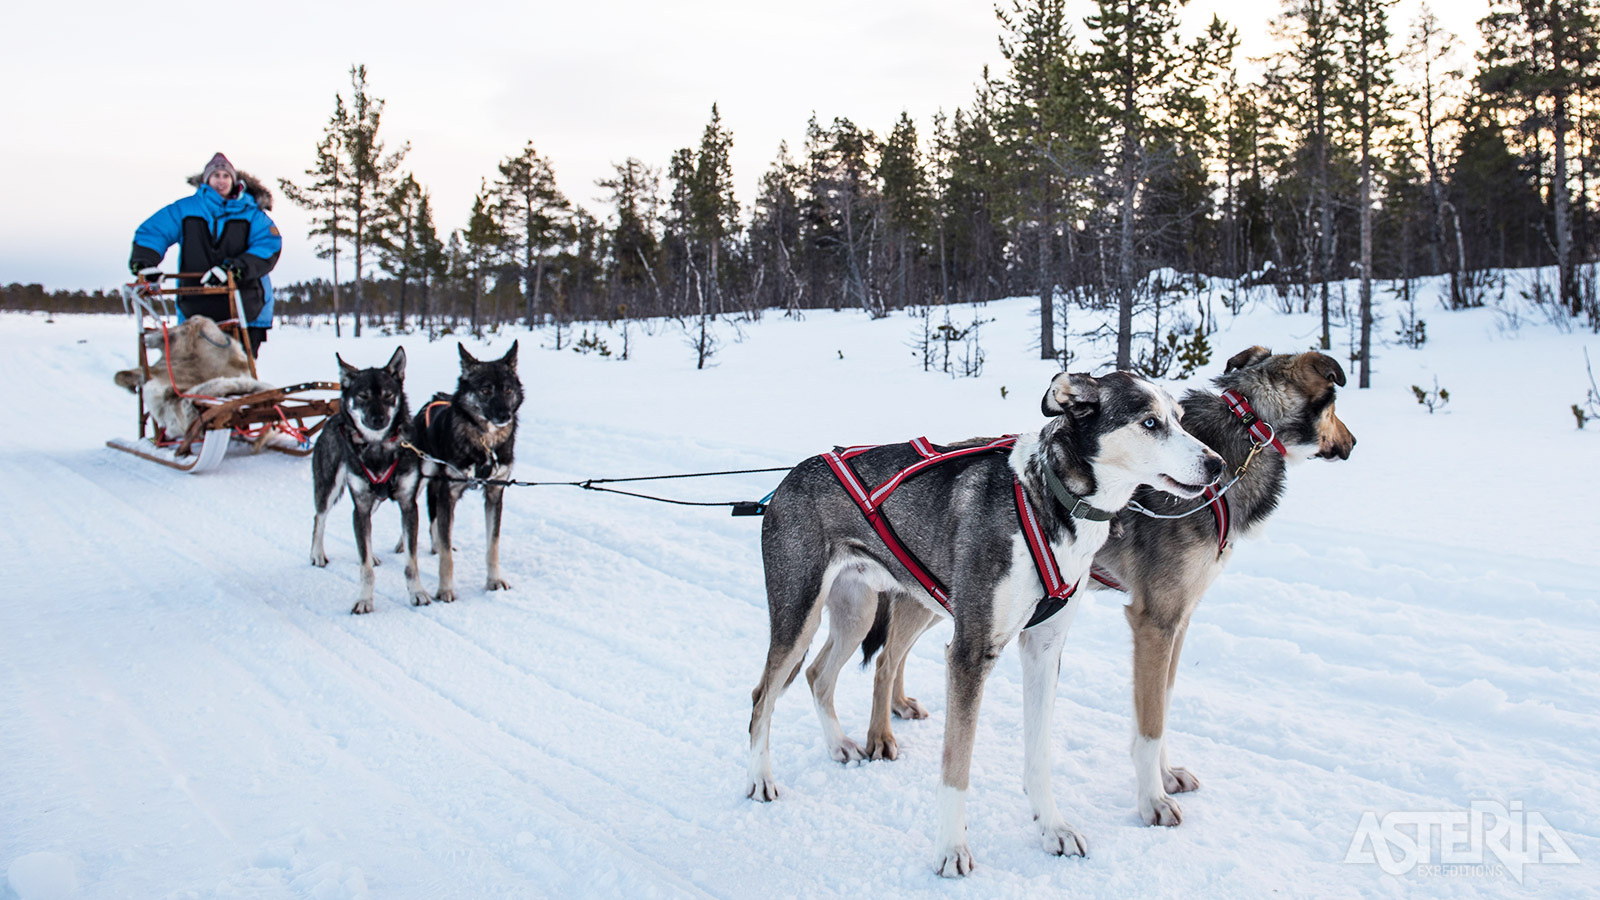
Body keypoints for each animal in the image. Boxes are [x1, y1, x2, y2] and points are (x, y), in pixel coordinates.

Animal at [307, 342, 428, 608]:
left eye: (388, 395)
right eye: (362, 396)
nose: (378, 418)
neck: (379, 448)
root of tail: (332, 418)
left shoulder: (408, 505)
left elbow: (411, 562)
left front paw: (417, 592)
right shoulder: (360, 506)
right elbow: (364, 569)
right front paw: (364, 599)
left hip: (372, 502)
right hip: (329, 487)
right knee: (319, 517)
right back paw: (317, 553)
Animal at [409, 341, 521, 602]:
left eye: (508, 390)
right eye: (486, 390)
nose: (505, 415)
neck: (484, 442)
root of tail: (433, 399)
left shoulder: (494, 494)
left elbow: (492, 545)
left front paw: (494, 581)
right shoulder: (447, 493)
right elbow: (446, 556)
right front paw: (445, 590)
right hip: (421, 481)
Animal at [748, 368, 1222, 871]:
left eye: (1180, 417)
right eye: (1150, 422)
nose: (1217, 465)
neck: (1049, 500)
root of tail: (789, 478)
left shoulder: (1043, 650)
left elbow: (1039, 755)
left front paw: (1051, 827)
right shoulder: (971, 653)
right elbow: (956, 766)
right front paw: (951, 849)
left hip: (856, 613)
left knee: (818, 674)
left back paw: (838, 744)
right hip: (798, 615)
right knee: (763, 696)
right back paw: (760, 779)